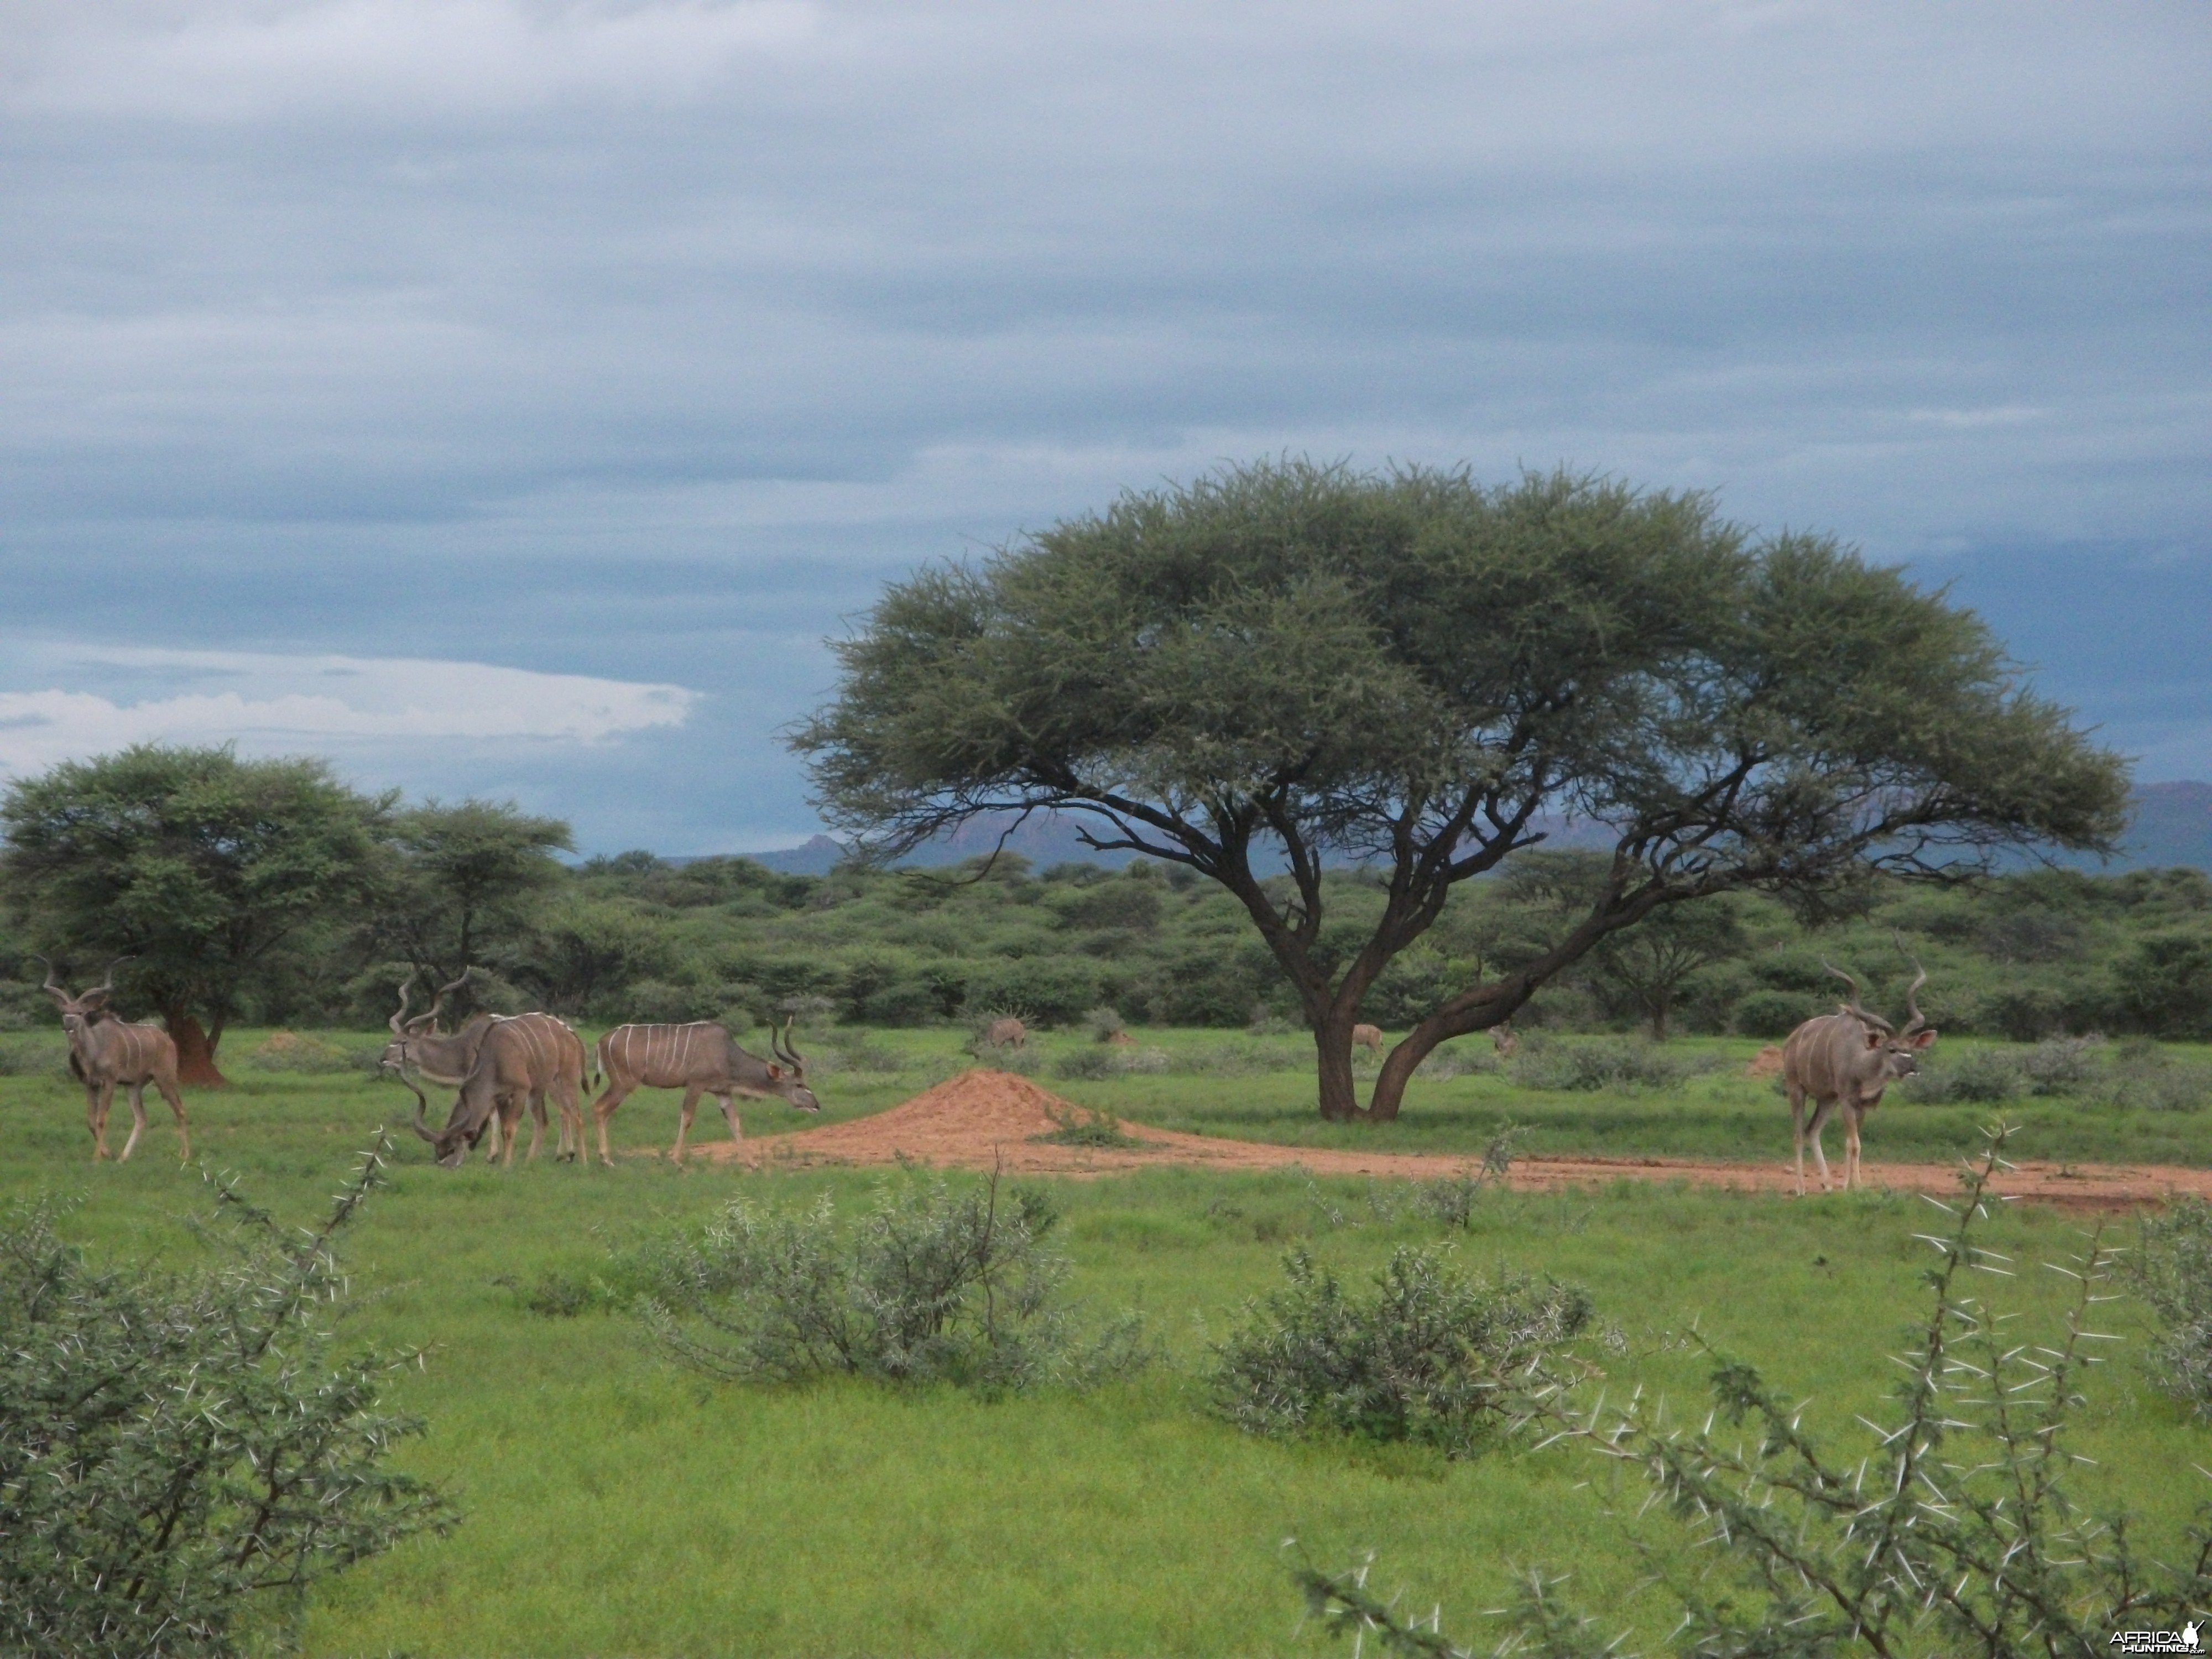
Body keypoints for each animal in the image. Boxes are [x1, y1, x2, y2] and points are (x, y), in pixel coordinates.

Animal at [36, 960, 190, 1168]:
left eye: (80, 1012)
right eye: (63, 1012)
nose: (68, 1027)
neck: (94, 1049)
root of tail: (168, 1040)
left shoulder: (109, 1082)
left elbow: (101, 1119)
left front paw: (97, 1159)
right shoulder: (91, 1085)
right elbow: (91, 1121)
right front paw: (107, 1153)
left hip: (165, 1079)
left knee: (180, 1110)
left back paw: (185, 1155)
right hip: (133, 1086)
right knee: (141, 1118)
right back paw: (122, 1158)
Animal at [385, 973, 588, 1168]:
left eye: (403, 1042)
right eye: (393, 1039)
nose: (382, 1058)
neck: (464, 1046)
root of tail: (572, 1034)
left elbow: (496, 1119)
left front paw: (493, 1157)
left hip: (561, 1081)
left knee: (573, 1113)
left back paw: (578, 1158)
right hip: (540, 1088)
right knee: (551, 1117)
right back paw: (557, 1156)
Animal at [588, 1013, 823, 1168]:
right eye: (799, 1085)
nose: (817, 1105)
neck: (727, 1055)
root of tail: (601, 1042)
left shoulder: (722, 1093)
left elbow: (735, 1123)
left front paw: (753, 1164)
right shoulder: (696, 1085)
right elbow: (687, 1118)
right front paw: (676, 1161)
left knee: (602, 1111)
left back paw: (602, 1157)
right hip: (624, 1084)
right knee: (599, 1108)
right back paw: (607, 1160)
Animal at [1778, 960, 1938, 1194]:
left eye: (1910, 1049)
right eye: (1891, 1049)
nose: (1912, 1068)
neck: (1860, 1062)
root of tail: (1791, 1040)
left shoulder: (1862, 1105)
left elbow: (1851, 1143)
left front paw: (1847, 1186)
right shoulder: (1847, 1100)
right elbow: (1854, 1144)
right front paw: (1859, 1187)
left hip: (1828, 1099)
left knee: (1812, 1130)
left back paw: (1828, 1185)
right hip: (1796, 1089)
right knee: (1798, 1134)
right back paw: (1801, 1189)